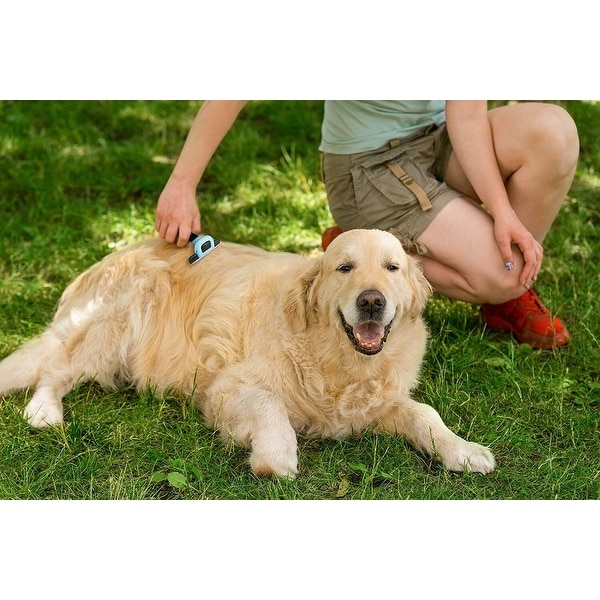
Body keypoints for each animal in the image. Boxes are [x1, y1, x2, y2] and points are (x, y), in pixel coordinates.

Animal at [0, 229, 495, 477]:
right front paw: (275, 457)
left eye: (392, 268)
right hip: (124, 310)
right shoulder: (224, 389)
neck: (339, 361)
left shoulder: (380, 403)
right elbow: (269, 405)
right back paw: (44, 411)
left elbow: (425, 414)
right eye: (344, 267)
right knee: (56, 368)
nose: (372, 301)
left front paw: (464, 451)